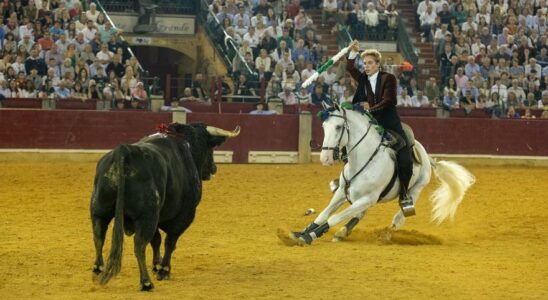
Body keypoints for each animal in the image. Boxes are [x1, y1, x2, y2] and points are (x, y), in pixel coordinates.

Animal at [90, 122, 240, 290]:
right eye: (209, 146)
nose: (214, 168)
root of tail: (124, 152)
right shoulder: (184, 216)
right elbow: (170, 242)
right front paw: (164, 270)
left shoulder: (157, 217)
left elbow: (156, 240)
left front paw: (156, 265)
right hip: (146, 217)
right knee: (139, 245)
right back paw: (146, 282)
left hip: (99, 211)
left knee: (99, 237)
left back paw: (97, 270)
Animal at [278, 103, 476, 246]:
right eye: (324, 126)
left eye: (339, 127)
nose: (325, 158)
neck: (363, 160)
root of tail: (426, 155)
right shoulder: (343, 191)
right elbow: (324, 214)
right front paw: (299, 233)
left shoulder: (367, 198)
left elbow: (334, 217)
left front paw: (309, 236)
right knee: (359, 215)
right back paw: (343, 232)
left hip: (415, 189)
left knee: (398, 218)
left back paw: (386, 235)